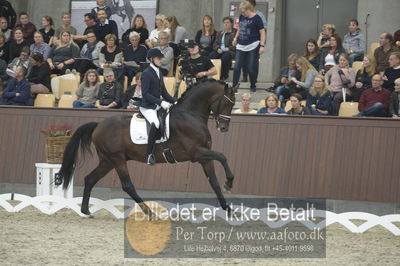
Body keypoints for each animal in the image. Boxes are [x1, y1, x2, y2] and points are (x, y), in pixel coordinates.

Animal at [58, 80, 239, 217]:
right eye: (226, 103)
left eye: (233, 104)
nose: (224, 127)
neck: (190, 115)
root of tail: (98, 125)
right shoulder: (196, 153)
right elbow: (222, 156)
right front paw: (229, 183)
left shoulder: (203, 157)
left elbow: (214, 182)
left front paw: (229, 209)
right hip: (116, 159)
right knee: (127, 185)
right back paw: (150, 213)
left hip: (107, 161)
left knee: (90, 179)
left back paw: (85, 210)